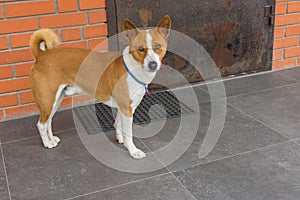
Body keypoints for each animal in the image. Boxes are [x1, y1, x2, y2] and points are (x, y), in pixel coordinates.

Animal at [30, 15, 172, 159]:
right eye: (141, 49)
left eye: (158, 46)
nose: (153, 64)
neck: (133, 68)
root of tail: (42, 55)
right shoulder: (126, 108)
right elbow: (128, 133)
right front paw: (133, 150)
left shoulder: (124, 107)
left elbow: (117, 124)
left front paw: (120, 139)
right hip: (47, 100)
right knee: (41, 124)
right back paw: (47, 143)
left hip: (54, 100)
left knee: (48, 121)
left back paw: (52, 139)